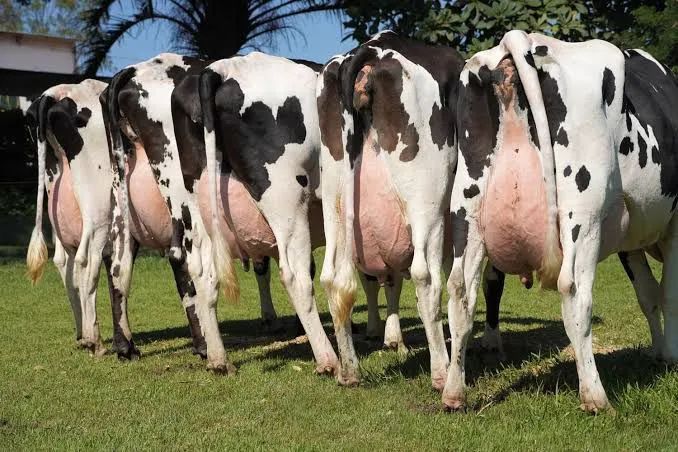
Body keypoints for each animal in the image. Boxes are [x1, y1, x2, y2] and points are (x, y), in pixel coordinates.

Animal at [316, 31, 515, 388]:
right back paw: (440, 370)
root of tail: (368, 52)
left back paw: (349, 370)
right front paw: (491, 342)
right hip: (426, 199)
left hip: (333, 200)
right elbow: (491, 280)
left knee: (333, 278)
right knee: (425, 278)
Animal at [444, 30, 678, 413]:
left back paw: (453, 393)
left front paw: (659, 353)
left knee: (460, 290)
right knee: (574, 291)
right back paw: (595, 396)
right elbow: (668, 294)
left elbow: (648, 294)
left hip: (467, 207)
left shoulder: (630, 240)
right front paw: (670, 356)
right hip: (583, 211)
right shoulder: (674, 225)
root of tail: (522, 39)